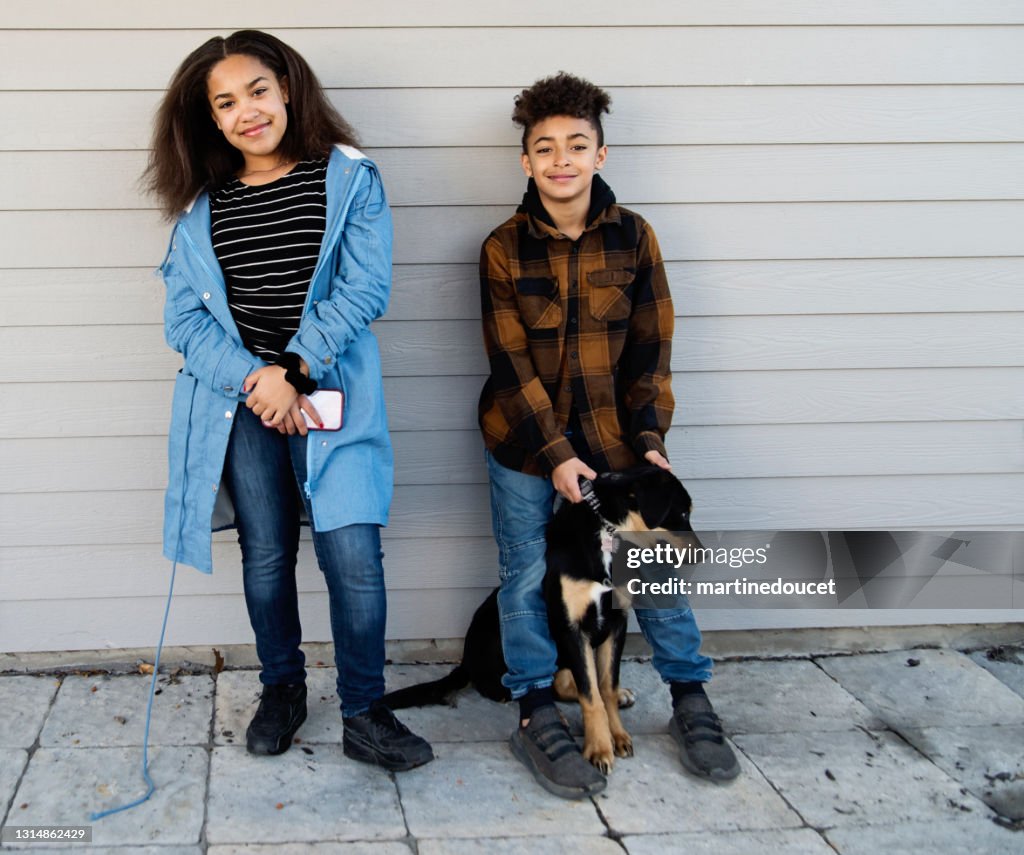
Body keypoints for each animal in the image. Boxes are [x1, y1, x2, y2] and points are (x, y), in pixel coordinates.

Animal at [385, 464, 704, 774]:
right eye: (682, 513)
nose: (702, 555)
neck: (609, 536)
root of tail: (466, 661)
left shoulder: (617, 624)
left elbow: (606, 688)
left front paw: (617, 733)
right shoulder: (571, 627)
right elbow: (591, 696)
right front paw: (599, 748)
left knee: (563, 683)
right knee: (513, 688)